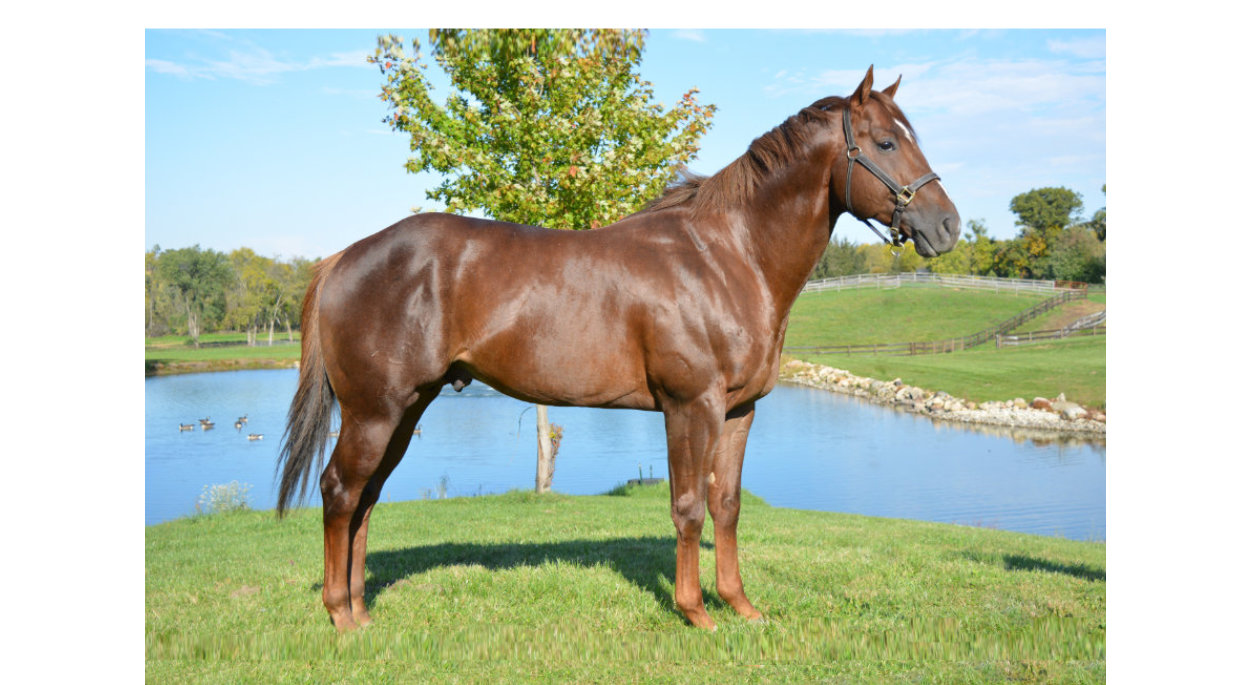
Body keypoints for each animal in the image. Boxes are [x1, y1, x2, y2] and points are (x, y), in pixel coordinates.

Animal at [276, 66, 959, 632]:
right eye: (886, 143)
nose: (948, 226)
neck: (727, 257)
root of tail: (344, 258)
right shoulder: (690, 407)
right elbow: (687, 507)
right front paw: (696, 613)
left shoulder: (739, 411)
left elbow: (728, 506)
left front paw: (741, 606)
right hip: (374, 411)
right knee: (340, 491)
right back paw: (340, 616)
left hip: (406, 408)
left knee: (366, 498)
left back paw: (362, 611)